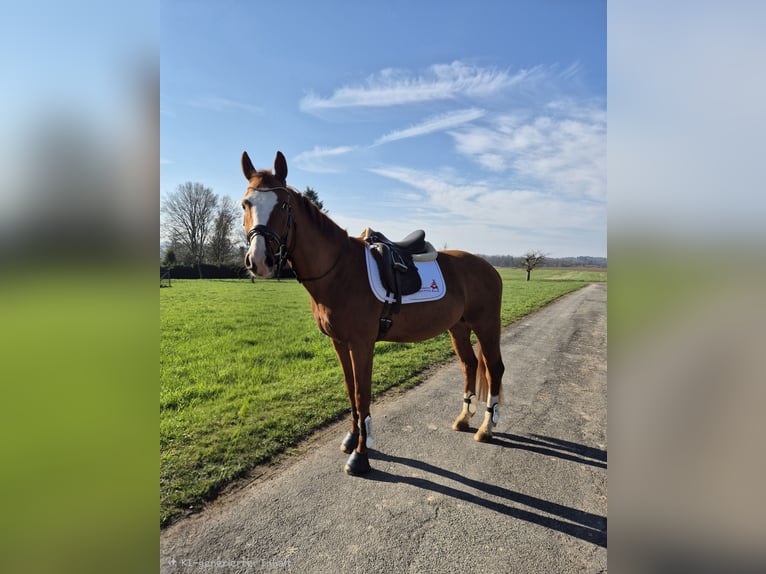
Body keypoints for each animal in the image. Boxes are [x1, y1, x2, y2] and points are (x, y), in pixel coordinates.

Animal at [241, 150, 505, 475]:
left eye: (283, 205)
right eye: (246, 204)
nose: (258, 260)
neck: (339, 270)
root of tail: (487, 267)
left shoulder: (362, 344)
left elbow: (362, 394)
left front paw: (361, 455)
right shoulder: (339, 343)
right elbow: (350, 390)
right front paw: (351, 438)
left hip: (487, 325)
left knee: (494, 369)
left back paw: (486, 428)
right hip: (458, 327)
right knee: (470, 365)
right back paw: (464, 418)